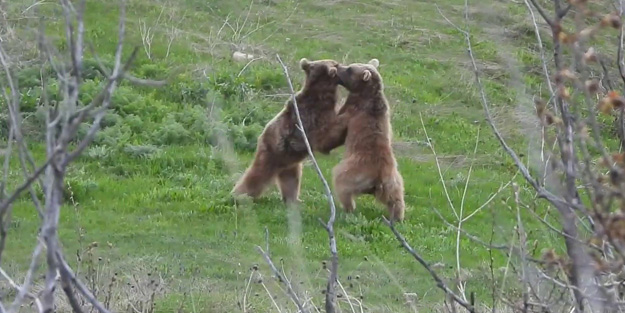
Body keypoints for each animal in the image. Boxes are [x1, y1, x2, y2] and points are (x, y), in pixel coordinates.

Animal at [230, 58, 346, 205]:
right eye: (336, 64)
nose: (342, 65)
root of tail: (261, 136)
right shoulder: (313, 118)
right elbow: (328, 132)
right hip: (272, 152)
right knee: (257, 174)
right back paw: (239, 195)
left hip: (290, 162)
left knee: (291, 181)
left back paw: (294, 199)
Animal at [332, 58, 404, 219]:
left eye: (350, 69)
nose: (338, 66)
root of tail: (379, 177)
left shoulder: (353, 111)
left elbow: (338, 122)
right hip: (393, 182)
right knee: (396, 198)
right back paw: (398, 216)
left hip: (354, 172)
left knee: (341, 183)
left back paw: (348, 208)